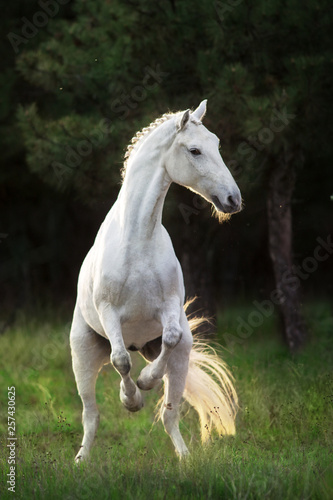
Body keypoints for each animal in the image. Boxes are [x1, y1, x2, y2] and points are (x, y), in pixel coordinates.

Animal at [70, 99, 241, 462]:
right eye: (195, 150)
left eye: (217, 144)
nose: (233, 200)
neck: (138, 239)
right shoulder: (109, 312)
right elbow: (120, 359)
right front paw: (131, 399)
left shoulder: (169, 308)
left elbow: (171, 338)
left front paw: (146, 381)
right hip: (83, 354)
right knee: (91, 414)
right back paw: (81, 461)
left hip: (180, 359)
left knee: (169, 413)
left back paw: (185, 459)